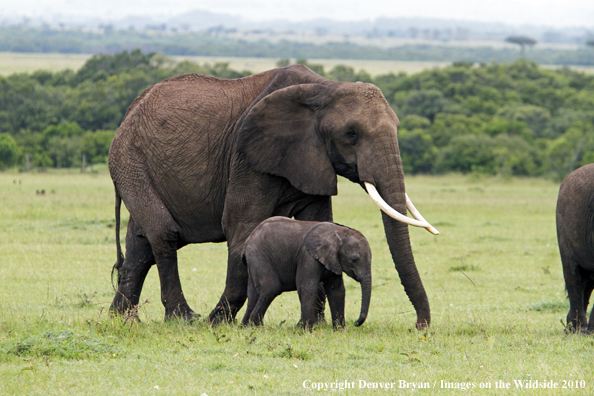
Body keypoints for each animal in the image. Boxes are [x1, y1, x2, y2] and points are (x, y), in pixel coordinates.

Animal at [240, 217, 370, 328]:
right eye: (354, 259)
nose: (355, 323)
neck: (340, 232)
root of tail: (248, 240)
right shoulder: (307, 256)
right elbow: (308, 287)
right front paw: (306, 331)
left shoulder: (333, 260)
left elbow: (336, 290)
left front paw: (339, 330)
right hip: (259, 255)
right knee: (271, 288)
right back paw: (254, 326)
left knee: (253, 293)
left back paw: (246, 327)